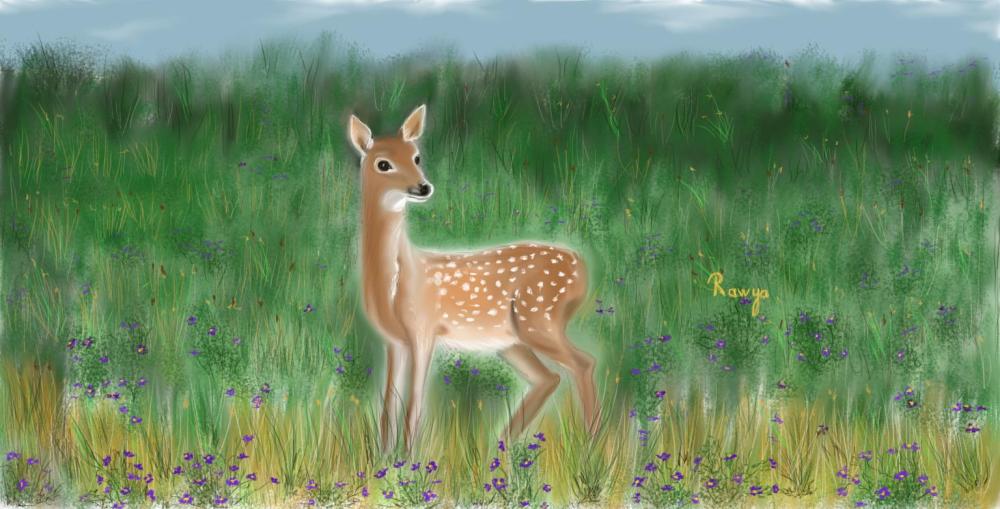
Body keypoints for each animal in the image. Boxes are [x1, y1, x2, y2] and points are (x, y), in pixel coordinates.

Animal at [348, 104, 600, 452]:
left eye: (416, 157)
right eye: (383, 163)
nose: (423, 187)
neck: (395, 281)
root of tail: (582, 267)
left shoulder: (424, 329)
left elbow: (415, 404)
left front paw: (409, 458)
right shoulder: (393, 341)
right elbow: (389, 406)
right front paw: (385, 458)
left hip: (538, 318)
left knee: (583, 364)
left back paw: (589, 447)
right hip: (512, 339)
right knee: (549, 377)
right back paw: (501, 446)